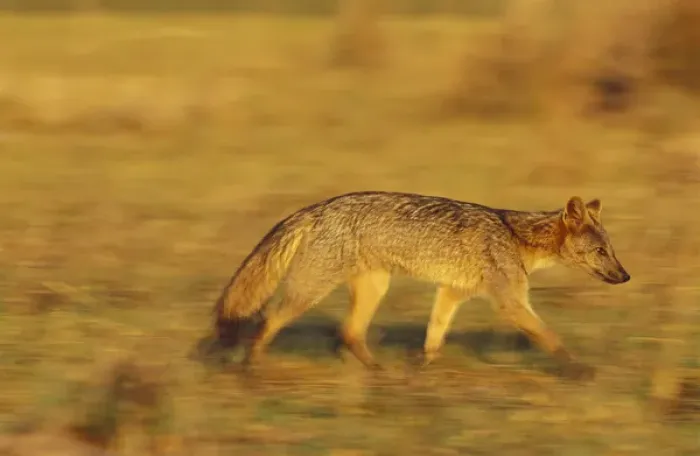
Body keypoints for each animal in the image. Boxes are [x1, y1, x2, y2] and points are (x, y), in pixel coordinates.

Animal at [212, 191, 630, 380]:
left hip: (374, 288)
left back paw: (381, 373)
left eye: (612, 250)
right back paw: (250, 365)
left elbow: (434, 337)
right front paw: (579, 370)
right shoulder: (509, 302)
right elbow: (551, 337)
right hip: (310, 292)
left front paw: (422, 368)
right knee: (269, 319)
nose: (626, 276)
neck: (517, 236)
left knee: (349, 332)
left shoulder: (451, 292)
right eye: (600, 251)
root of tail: (318, 206)